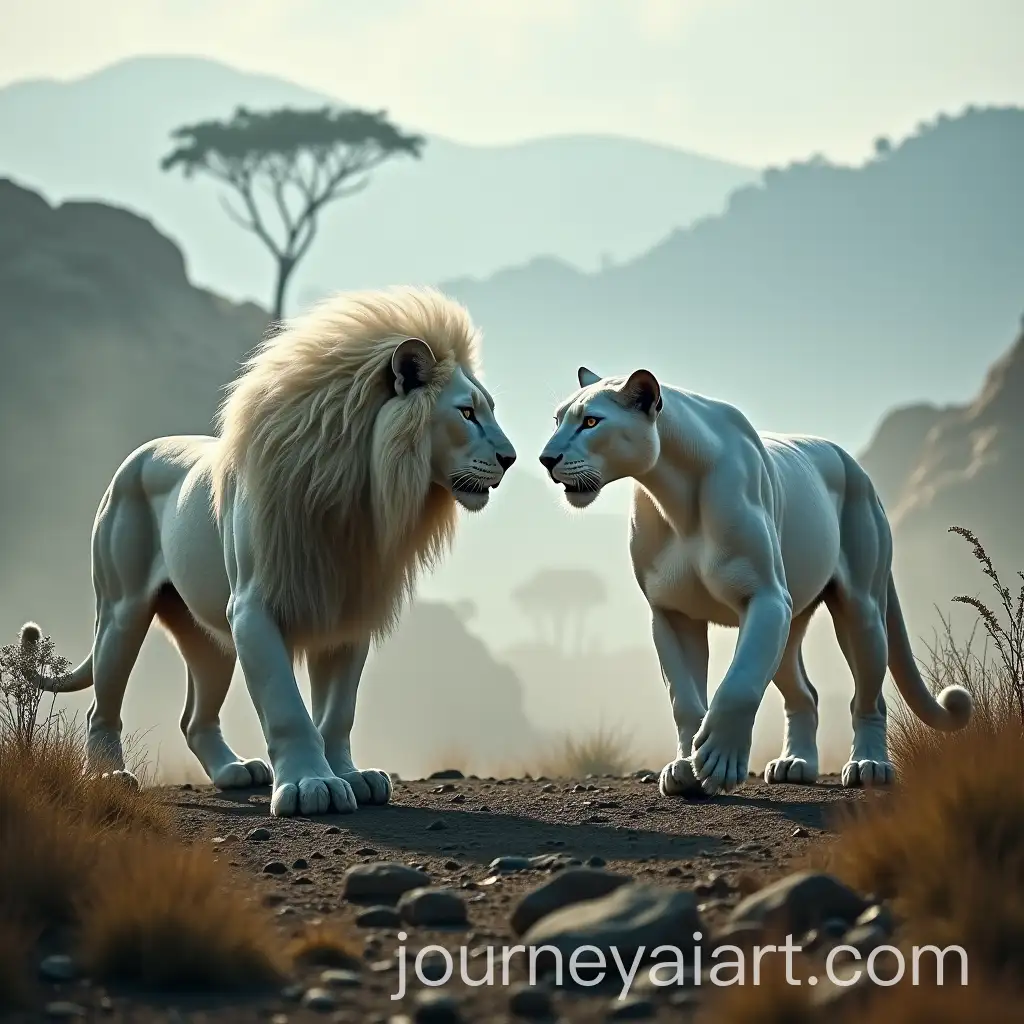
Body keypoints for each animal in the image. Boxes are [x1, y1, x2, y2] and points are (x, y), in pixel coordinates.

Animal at [25, 286, 517, 817]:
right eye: (467, 412)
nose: (511, 458)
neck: (359, 491)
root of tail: (139, 454)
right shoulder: (252, 607)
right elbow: (286, 705)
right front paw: (309, 785)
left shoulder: (348, 607)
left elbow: (338, 711)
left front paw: (349, 776)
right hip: (123, 608)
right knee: (103, 703)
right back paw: (108, 777)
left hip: (206, 636)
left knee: (194, 719)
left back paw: (234, 771)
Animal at [539, 365, 972, 797]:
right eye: (558, 420)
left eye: (591, 422)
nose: (546, 458)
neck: (673, 495)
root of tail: (856, 468)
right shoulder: (674, 612)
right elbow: (684, 699)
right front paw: (684, 770)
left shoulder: (765, 597)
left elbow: (740, 682)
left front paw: (719, 761)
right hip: (790, 626)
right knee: (805, 695)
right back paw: (795, 763)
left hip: (861, 610)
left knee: (868, 698)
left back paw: (869, 765)